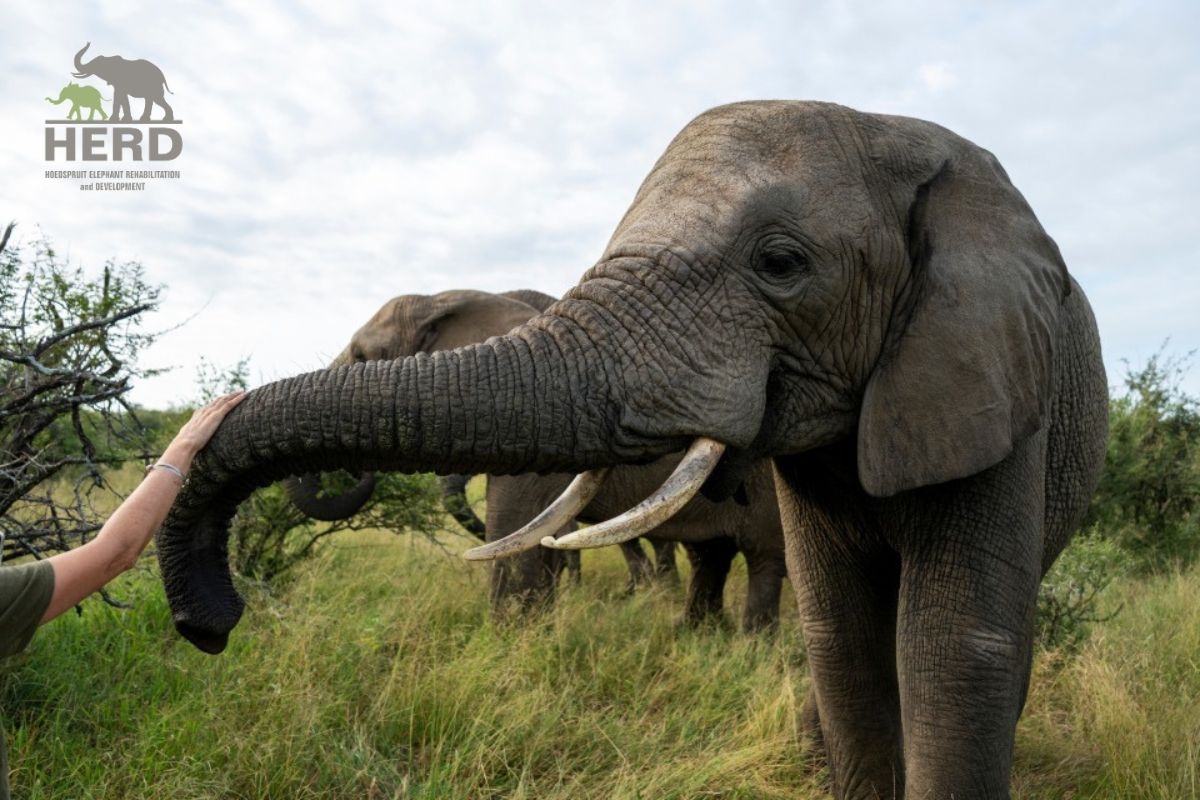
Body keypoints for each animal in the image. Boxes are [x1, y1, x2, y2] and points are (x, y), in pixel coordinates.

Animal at [294, 288, 786, 627]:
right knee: (708, 555)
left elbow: (514, 526)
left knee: (763, 557)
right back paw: (695, 631)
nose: (357, 472)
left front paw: (508, 640)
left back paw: (749, 644)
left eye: (361, 355)